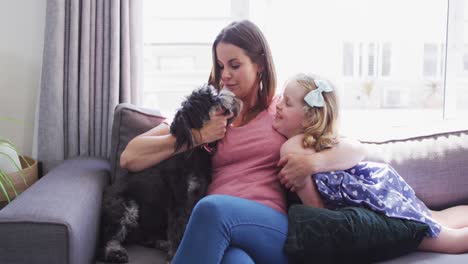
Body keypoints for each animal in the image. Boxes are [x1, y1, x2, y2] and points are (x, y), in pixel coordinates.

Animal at [98, 84, 241, 262]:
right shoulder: (178, 198)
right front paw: (176, 252)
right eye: (210, 98)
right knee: (110, 237)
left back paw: (161, 243)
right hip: (125, 207)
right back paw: (115, 252)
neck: (194, 152)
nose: (228, 94)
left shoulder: (196, 196)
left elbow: (187, 226)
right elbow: (178, 227)